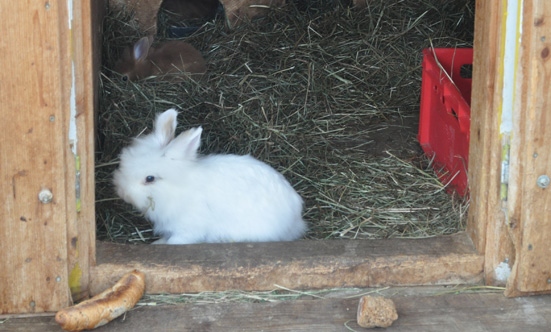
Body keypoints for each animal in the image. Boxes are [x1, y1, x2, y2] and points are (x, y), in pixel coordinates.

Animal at [113, 108, 308, 244]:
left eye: (150, 179)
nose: (123, 193)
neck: (176, 190)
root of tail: (296, 218)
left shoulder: (187, 229)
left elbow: (176, 242)